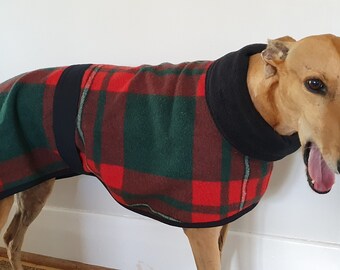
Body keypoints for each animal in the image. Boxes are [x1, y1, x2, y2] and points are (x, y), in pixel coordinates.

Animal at [0, 34, 338, 270]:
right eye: (314, 84)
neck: (253, 101)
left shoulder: (223, 224)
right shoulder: (201, 233)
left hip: (35, 185)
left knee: (13, 240)